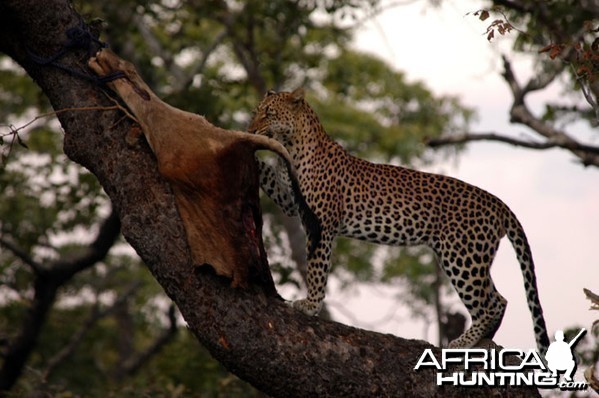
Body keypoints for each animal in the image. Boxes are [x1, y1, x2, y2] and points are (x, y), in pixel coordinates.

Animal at [246, 87, 552, 352]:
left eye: (269, 114)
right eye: (256, 111)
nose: (251, 129)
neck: (292, 145)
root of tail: (498, 202)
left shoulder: (321, 222)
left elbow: (316, 268)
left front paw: (310, 305)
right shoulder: (289, 202)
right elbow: (269, 178)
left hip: (461, 256)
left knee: (489, 304)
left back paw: (462, 343)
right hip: (471, 255)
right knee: (498, 299)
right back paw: (483, 341)